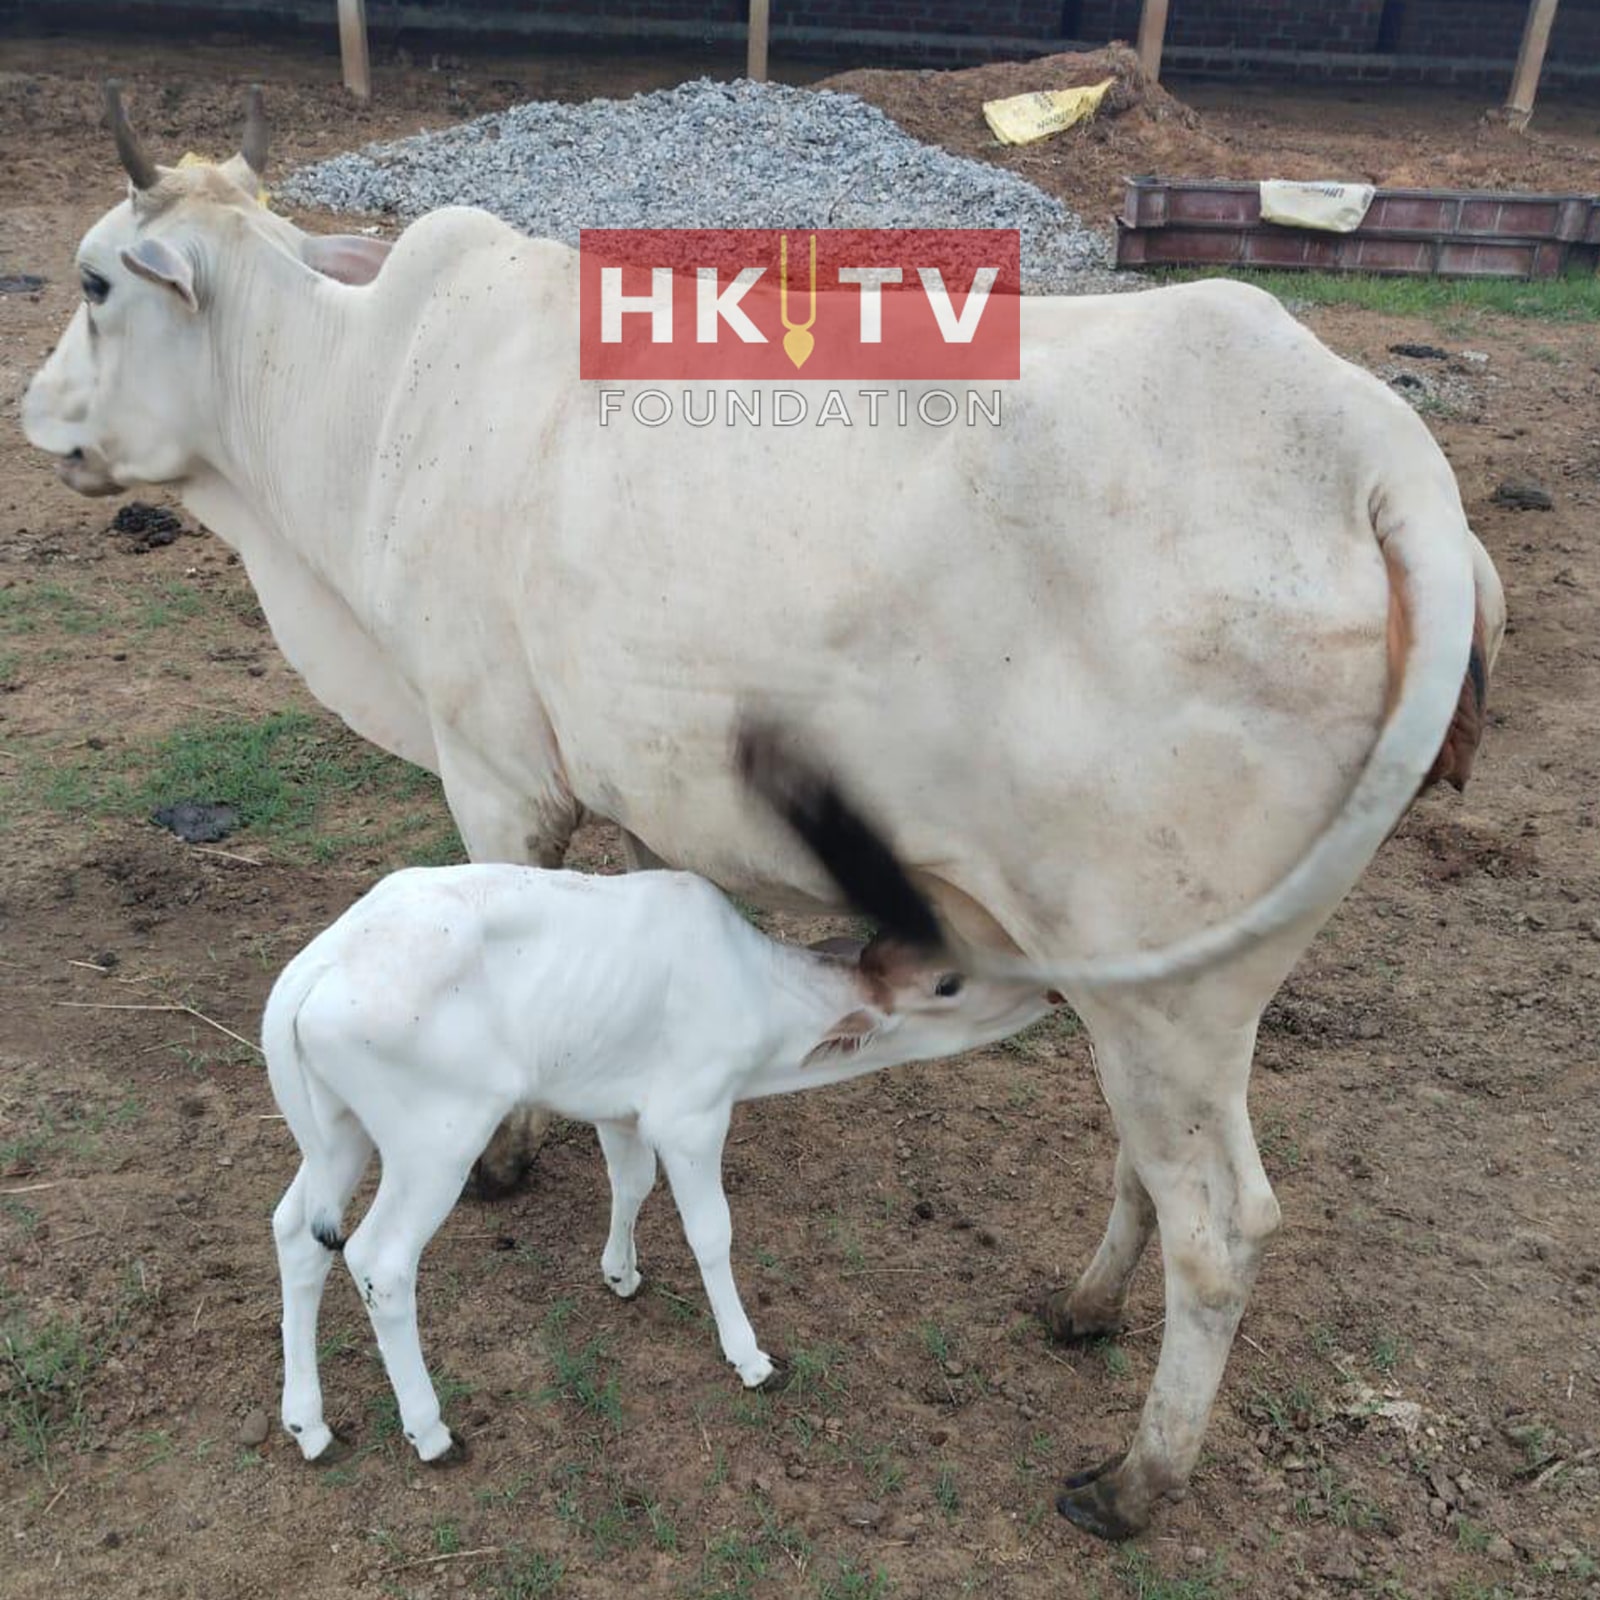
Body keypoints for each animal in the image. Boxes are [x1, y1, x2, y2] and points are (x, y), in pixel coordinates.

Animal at [21, 86, 1505, 1539]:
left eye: (96, 281)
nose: (36, 414)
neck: (359, 398)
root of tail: (1379, 451)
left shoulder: (496, 769)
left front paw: (505, 1159)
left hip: (1169, 977)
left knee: (1221, 1226)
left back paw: (1134, 1480)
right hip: (1163, 985)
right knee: (1153, 1164)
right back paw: (1082, 1308)